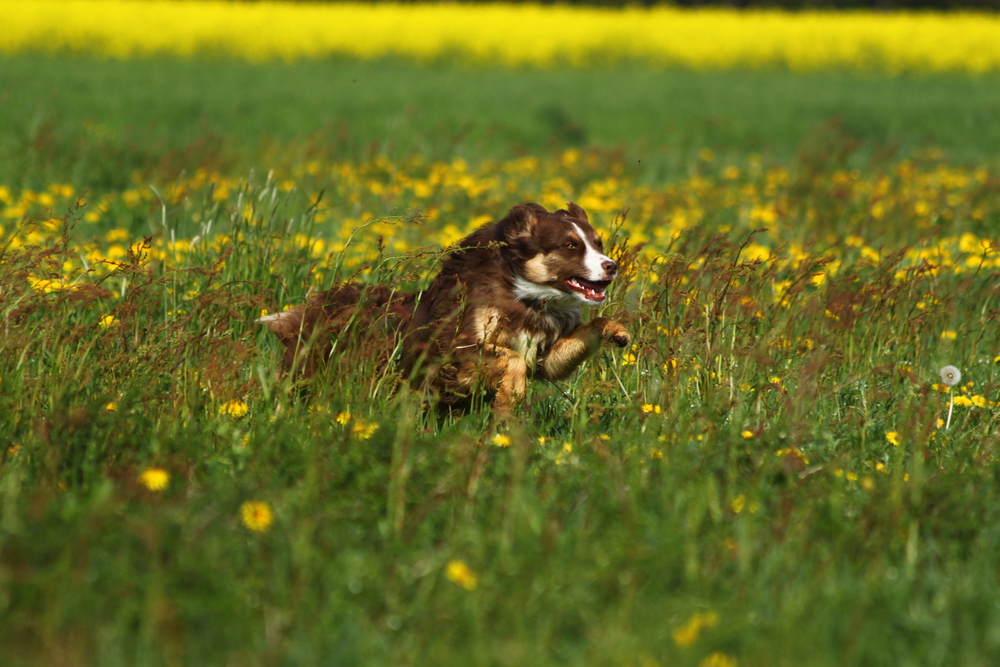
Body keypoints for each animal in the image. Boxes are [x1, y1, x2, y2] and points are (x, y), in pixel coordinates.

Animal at [262, 202, 628, 412]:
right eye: (570, 246)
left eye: (598, 244)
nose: (612, 266)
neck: (524, 296)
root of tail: (313, 306)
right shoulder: (452, 352)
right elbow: (510, 359)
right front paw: (512, 393)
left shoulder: (545, 355)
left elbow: (562, 351)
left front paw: (618, 331)